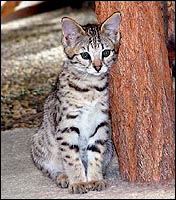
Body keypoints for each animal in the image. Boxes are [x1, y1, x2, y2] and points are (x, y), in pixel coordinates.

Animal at [30, 12, 121, 194]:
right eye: (85, 55)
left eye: (106, 52)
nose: (98, 67)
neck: (90, 88)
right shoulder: (67, 126)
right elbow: (72, 159)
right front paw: (78, 182)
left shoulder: (100, 124)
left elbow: (95, 155)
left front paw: (94, 179)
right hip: (39, 142)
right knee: (50, 169)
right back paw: (63, 177)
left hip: (110, 145)